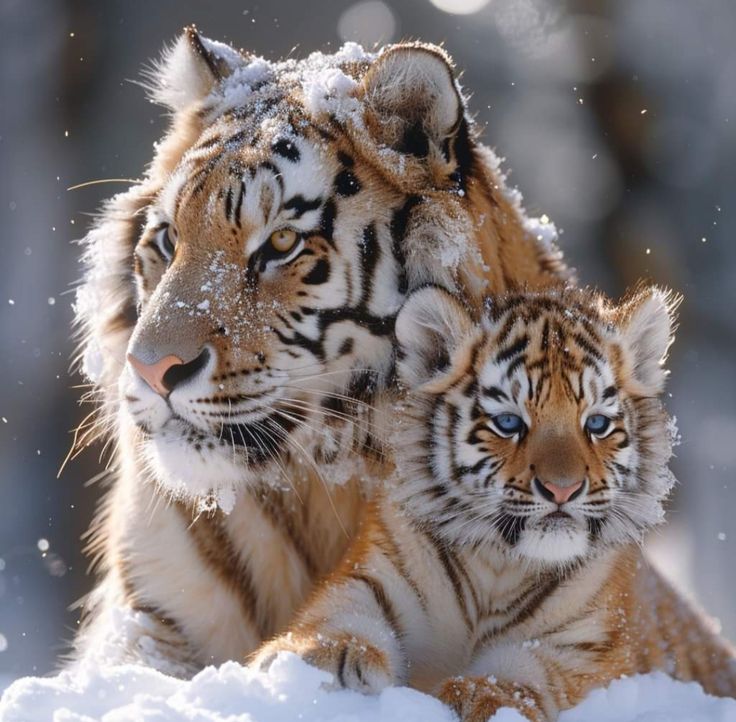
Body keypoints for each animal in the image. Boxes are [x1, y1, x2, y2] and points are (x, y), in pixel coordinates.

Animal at [252, 284, 736, 720]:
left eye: (596, 424)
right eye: (508, 423)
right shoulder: (370, 576)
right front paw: (319, 659)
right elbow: (334, 616)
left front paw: (485, 694)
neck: (500, 564)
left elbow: (532, 669)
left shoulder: (583, 644)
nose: (563, 490)